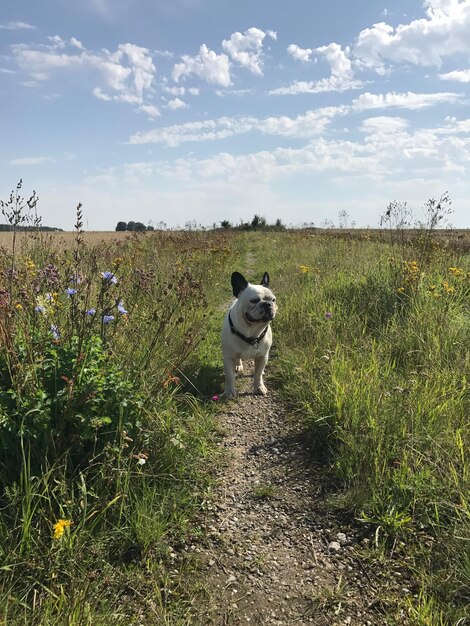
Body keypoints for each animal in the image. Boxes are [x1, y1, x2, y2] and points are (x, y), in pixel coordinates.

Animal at [221, 270, 278, 398]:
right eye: (254, 300)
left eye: (273, 300)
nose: (267, 304)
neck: (251, 330)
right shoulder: (228, 357)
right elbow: (230, 376)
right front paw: (229, 391)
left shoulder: (263, 356)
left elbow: (258, 374)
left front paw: (259, 387)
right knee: (237, 359)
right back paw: (238, 365)